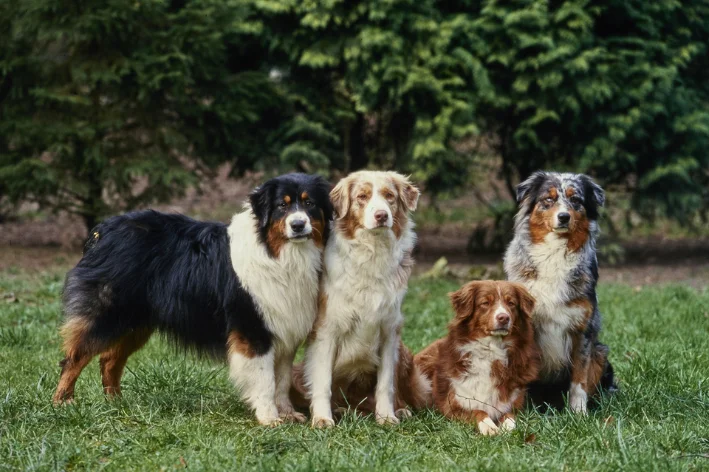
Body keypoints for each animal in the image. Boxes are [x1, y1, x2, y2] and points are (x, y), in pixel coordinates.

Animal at [51, 173, 334, 424]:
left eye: (309, 203)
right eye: (281, 206)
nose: (298, 225)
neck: (278, 253)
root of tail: (102, 230)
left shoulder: (284, 330)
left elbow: (282, 380)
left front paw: (287, 413)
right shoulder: (252, 328)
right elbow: (265, 379)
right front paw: (269, 418)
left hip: (135, 322)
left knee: (109, 360)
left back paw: (116, 404)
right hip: (107, 314)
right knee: (74, 357)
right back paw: (63, 402)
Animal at [290, 171, 428, 428]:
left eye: (389, 196)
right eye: (362, 197)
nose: (382, 215)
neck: (372, 252)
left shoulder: (389, 331)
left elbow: (386, 383)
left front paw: (386, 416)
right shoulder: (326, 331)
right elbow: (322, 382)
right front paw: (322, 418)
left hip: (403, 352)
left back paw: (399, 409)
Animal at [414, 280, 536, 436]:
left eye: (511, 303)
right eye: (485, 303)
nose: (504, 318)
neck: (491, 352)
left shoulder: (513, 404)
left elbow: (509, 415)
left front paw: (508, 428)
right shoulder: (452, 404)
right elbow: (478, 411)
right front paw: (489, 426)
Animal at [504, 171, 612, 412]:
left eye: (575, 200)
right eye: (549, 199)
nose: (564, 217)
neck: (555, 254)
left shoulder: (583, 329)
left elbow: (580, 377)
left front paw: (578, 412)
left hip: (600, 353)